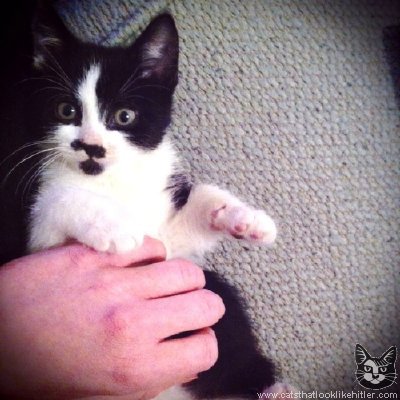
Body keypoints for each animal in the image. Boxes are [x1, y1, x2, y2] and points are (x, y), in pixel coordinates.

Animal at [0, 2, 295, 399]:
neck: (113, 181)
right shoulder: (39, 239)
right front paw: (115, 227)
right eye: (66, 111)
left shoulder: (169, 240)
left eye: (124, 116)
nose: (91, 146)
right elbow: (58, 199)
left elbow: (198, 206)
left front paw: (243, 217)